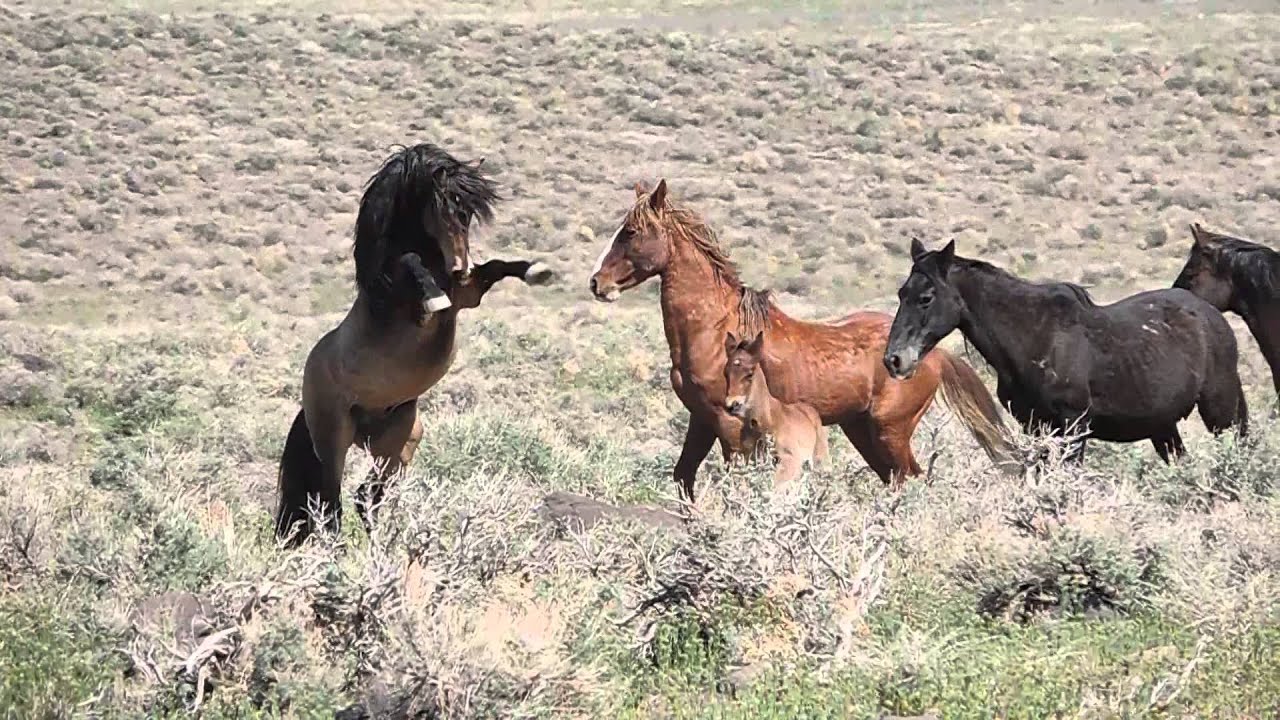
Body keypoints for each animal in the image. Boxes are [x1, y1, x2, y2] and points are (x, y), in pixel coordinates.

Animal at [275, 142, 555, 540]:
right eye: (443, 207)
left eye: (469, 212)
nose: (460, 266)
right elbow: (411, 263)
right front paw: (433, 295)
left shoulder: (468, 293)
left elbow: (497, 266)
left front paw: (537, 271)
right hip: (333, 439)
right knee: (331, 506)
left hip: (399, 440)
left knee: (365, 496)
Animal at [721, 327, 829, 484]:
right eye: (726, 373)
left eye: (750, 373)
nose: (732, 405)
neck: (766, 421)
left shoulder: (792, 459)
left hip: (821, 458)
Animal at [885, 235, 1244, 458]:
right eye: (901, 293)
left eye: (926, 297)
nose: (894, 360)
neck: (1034, 335)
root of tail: (1213, 316)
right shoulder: (1034, 427)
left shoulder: (1073, 426)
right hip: (1163, 427)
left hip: (1222, 410)